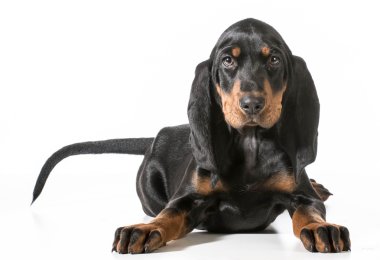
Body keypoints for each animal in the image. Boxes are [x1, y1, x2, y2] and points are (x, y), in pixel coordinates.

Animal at [31, 18, 350, 254]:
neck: (250, 143)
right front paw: (143, 230)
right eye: (227, 61)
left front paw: (320, 228)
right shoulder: (188, 199)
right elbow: (168, 215)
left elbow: (310, 211)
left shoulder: (301, 195)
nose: (252, 104)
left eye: (273, 59)